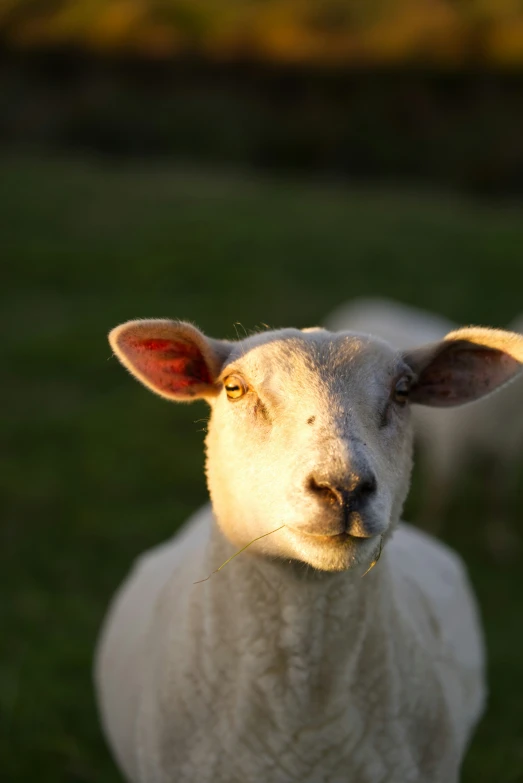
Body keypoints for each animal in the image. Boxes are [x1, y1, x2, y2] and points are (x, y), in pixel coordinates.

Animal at [326, 300, 523, 552]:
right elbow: (439, 496)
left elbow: (498, 500)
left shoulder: (504, 457)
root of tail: (363, 303)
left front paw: (499, 540)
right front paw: (431, 529)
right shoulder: (448, 452)